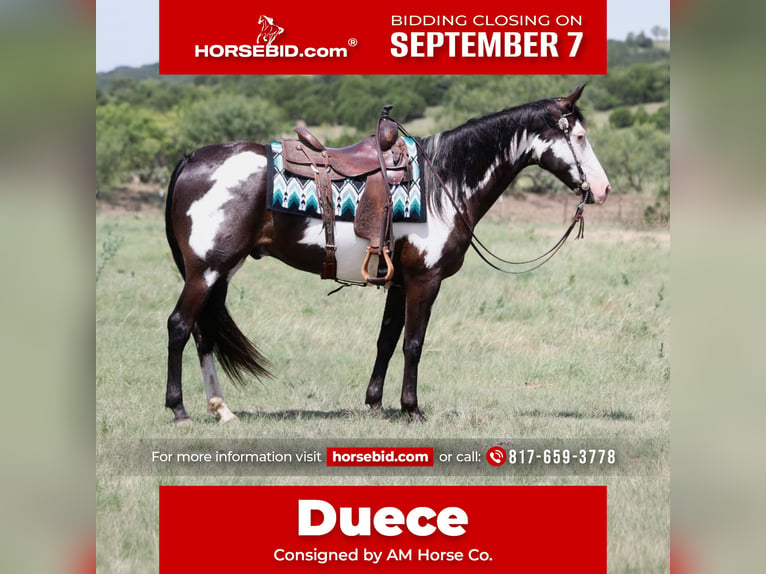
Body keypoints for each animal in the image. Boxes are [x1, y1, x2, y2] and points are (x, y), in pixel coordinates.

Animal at [163, 85, 610, 424]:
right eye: (580, 137)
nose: (603, 189)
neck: (444, 182)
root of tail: (191, 159)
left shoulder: (399, 281)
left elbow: (386, 340)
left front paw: (376, 403)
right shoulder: (425, 280)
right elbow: (413, 343)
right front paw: (412, 409)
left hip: (220, 272)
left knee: (203, 333)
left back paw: (222, 410)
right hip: (206, 270)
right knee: (180, 326)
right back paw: (180, 410)